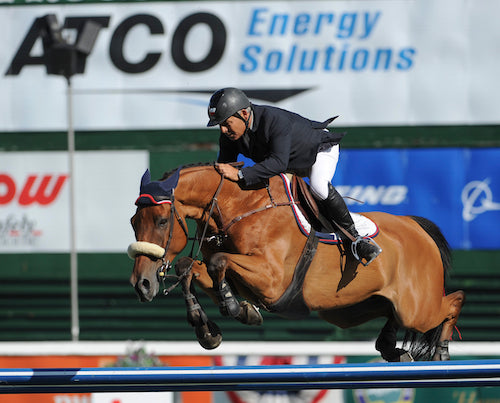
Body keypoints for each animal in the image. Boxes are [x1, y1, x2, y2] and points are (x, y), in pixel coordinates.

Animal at [128, 164, 464, 362]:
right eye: (133, 221)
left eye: (161, 221)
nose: (141, 285)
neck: (240, 207)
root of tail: (417, 226)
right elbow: (189, 267)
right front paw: (208, 328)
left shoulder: (272, 281)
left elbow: (218, 263)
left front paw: (234, 307)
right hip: (350, 310)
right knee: (392, 313)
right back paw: (391, 346)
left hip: (417, 308)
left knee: (452, 301)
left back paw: (441, 352)